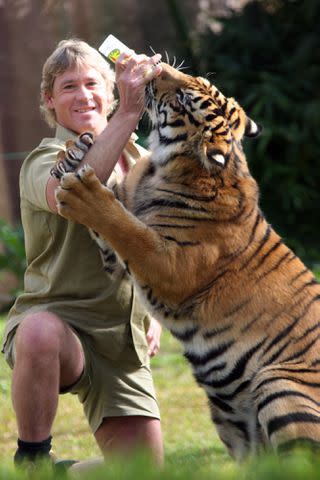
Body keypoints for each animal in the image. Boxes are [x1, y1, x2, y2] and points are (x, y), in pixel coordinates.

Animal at [53, 62, 320, 460]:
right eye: (198, 81)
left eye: (181, 97)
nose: (156, 68)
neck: (166, 166)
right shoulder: (116, 257)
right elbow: (114, 212)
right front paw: (73, 152)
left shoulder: (170, 268)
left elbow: (128, 229)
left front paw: (83, 192)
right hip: (232, 420)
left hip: (278, 383)